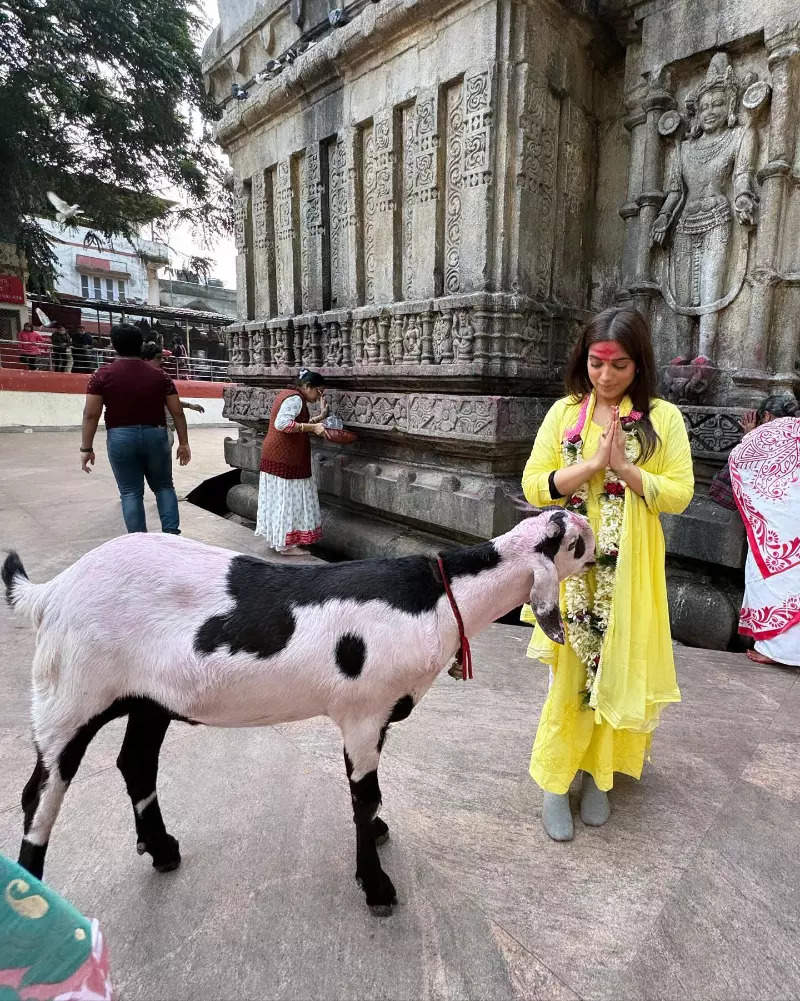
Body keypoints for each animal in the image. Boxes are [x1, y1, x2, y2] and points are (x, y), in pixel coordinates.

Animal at [3, 508, 592, 916]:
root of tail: (50, 592)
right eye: (574, 544)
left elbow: (370, 797)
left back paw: (162, 848)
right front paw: (376, 885)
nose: (600, 540)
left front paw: (379, 836)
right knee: (41, 793)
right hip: (69, 694)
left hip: (149, 698)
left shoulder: (379, 717)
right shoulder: (362, 712)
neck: (439, 597)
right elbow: (363, 795)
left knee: (136, 763)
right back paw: (33, 894)